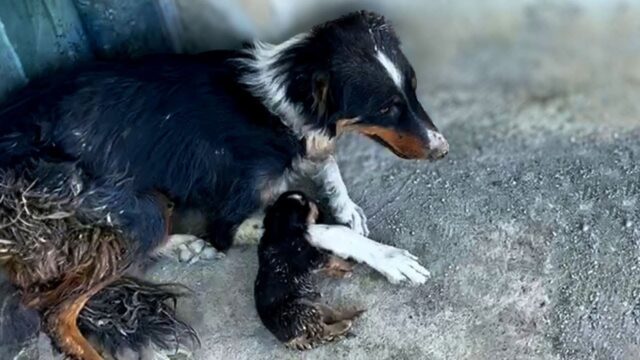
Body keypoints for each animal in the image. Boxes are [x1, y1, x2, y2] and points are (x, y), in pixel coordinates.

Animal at [255, 193, 364, 350]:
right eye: (306, 203)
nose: (320, 201)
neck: (278, 227)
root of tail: (288, 340)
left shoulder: (314, 262)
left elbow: (329, 268)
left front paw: (342, 272)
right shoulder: (313, 257)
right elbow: (333, 259)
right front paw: (349, 265)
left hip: (313, 306)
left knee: (329, 319)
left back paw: (352, 314)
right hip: (303, 311)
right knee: (324, 331)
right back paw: (344, 324)